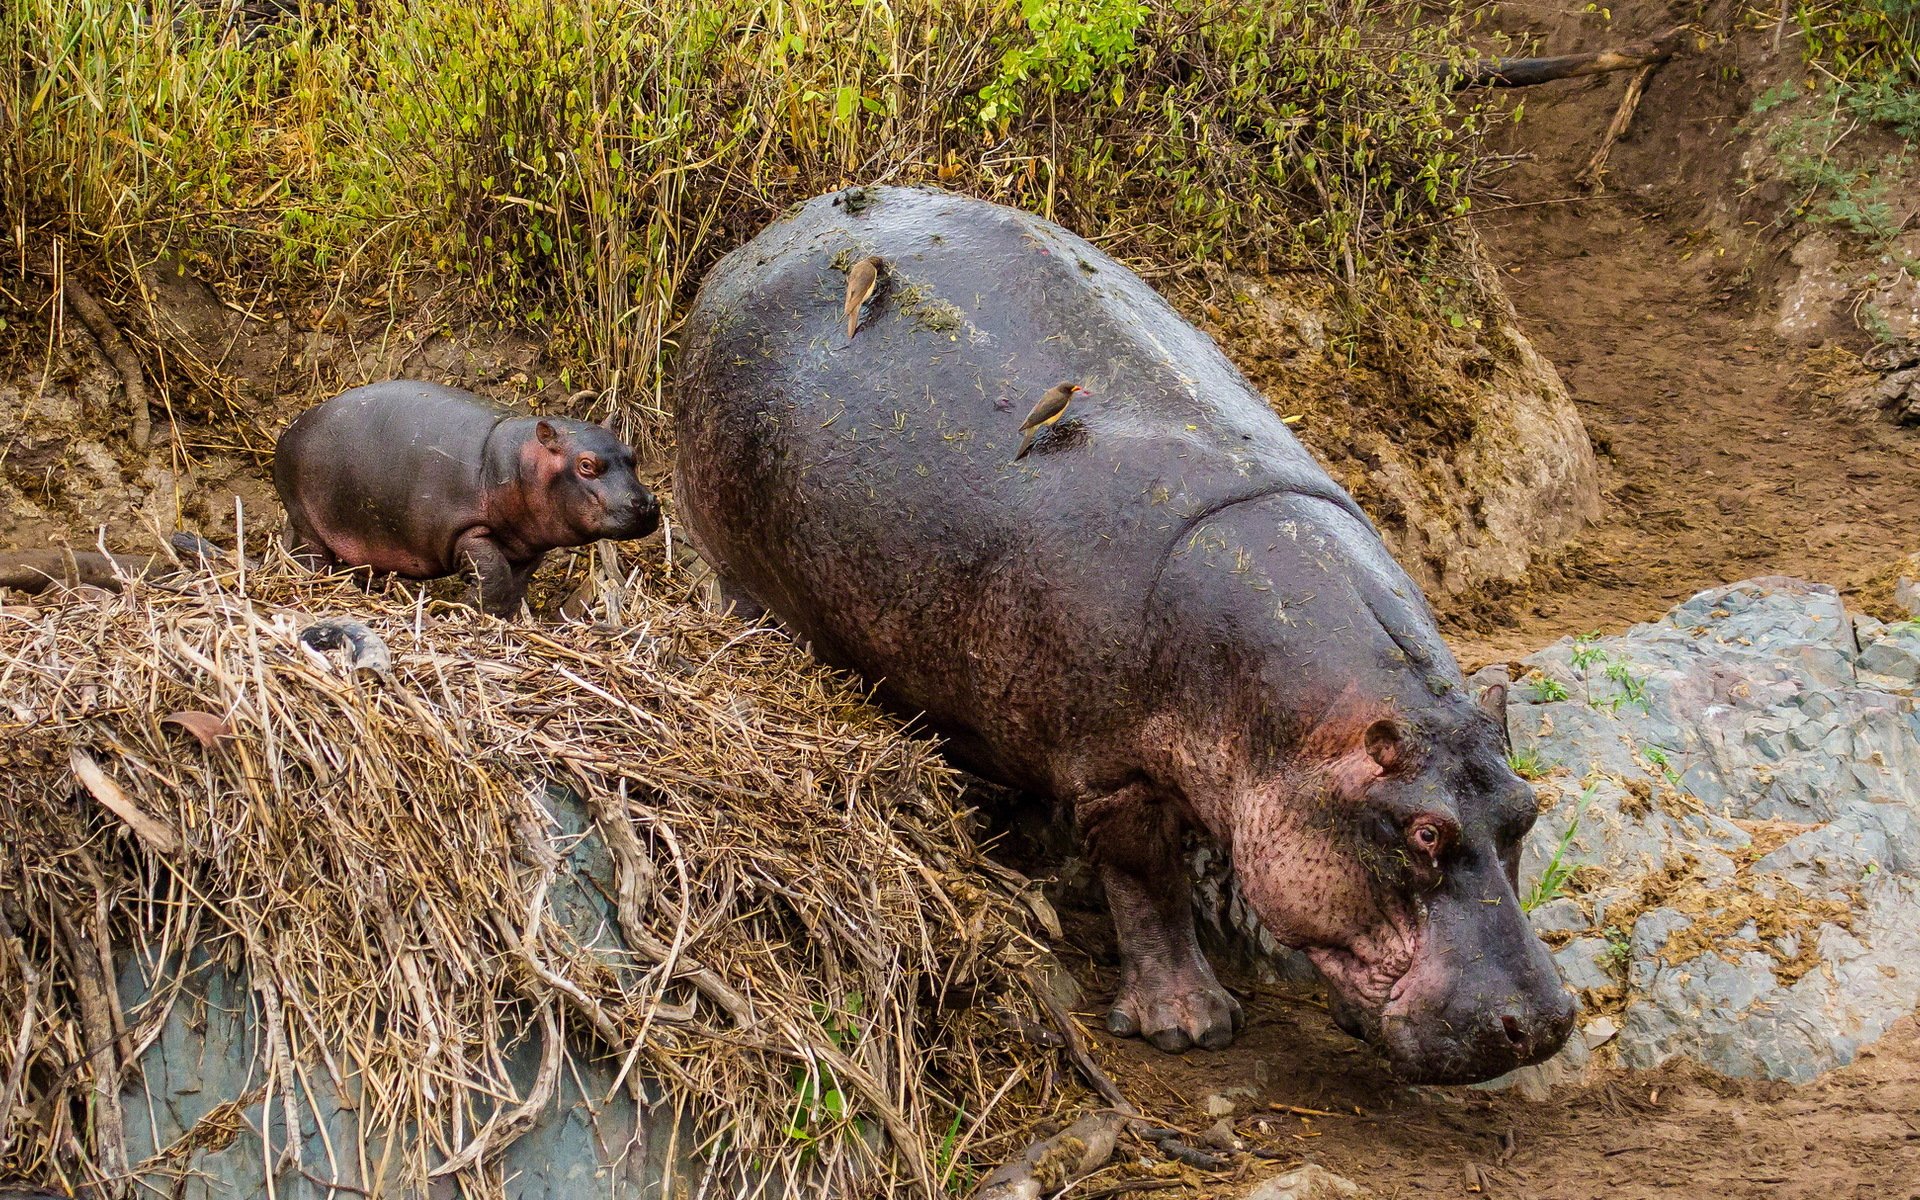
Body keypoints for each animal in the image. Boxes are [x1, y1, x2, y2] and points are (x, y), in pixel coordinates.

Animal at [274, 381, 659, 616]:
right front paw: (462, 609)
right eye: (586, 465)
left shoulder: (528, 547)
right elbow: (495, 575)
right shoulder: (468, 531)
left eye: (633, 454)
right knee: (310, 555)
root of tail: (289, 428)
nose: (647, 504)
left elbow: (514, 584)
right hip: (307, 519)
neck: (518, 461)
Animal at [674, 187, 1574, 1084]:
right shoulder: (1115, 771)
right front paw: (1190, 1027)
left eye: (1526, 810)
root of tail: (756, 244)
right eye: (1425, 832)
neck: (1309, 734)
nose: (1542, 1022)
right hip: (737, 571)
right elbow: (1149, 882)